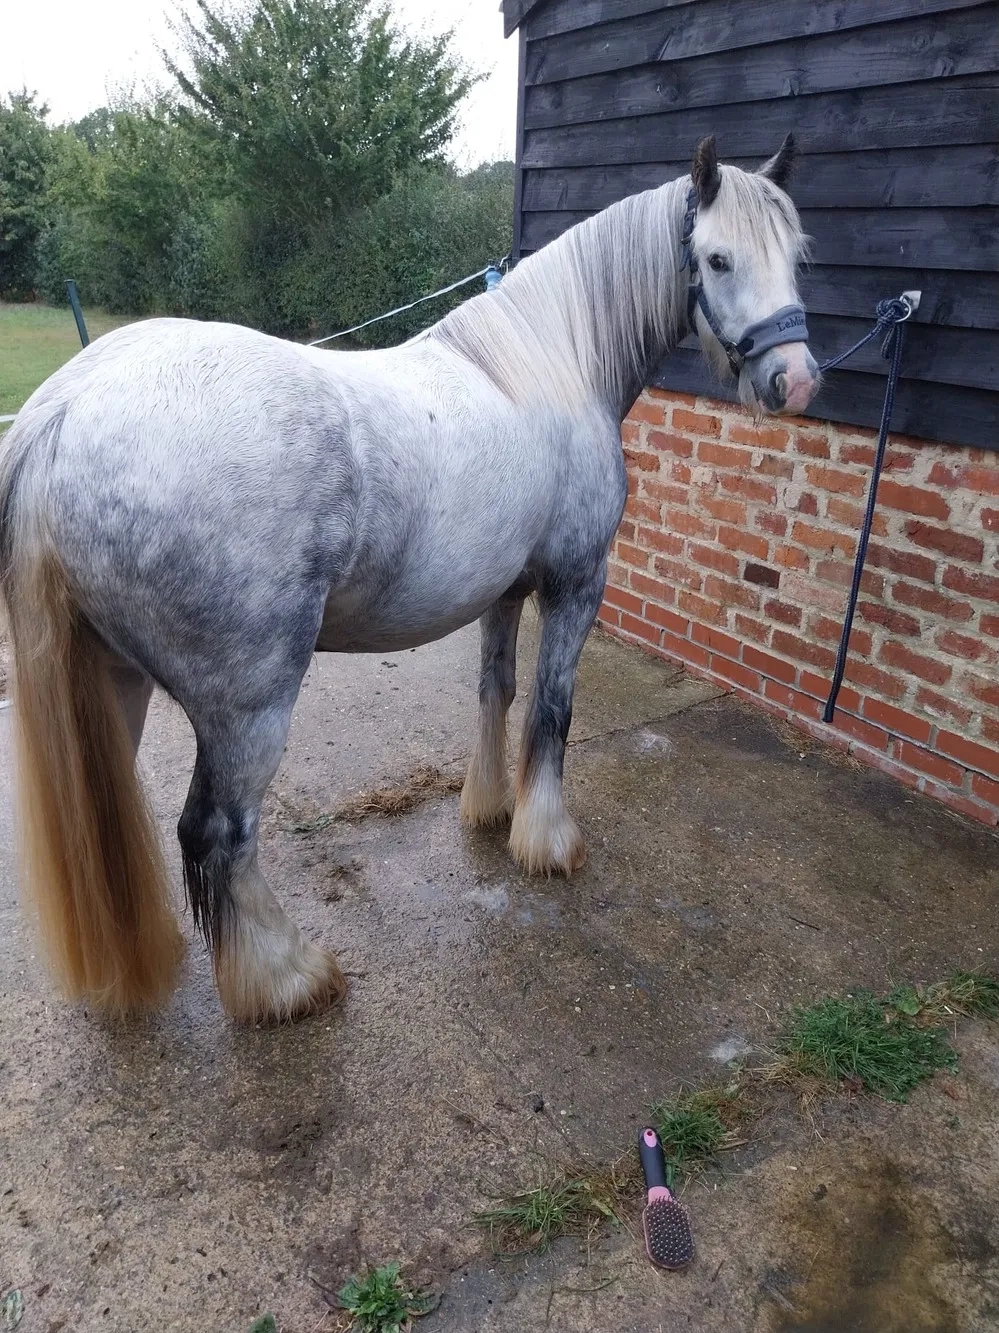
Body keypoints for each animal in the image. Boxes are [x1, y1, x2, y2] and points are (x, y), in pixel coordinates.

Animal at [0, 135, 818, 1024]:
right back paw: (287, 978)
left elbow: (496, 690)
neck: (548, 363)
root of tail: (62, 414)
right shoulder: (575, 584)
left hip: (112, 677)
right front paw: (547, 840)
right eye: (717, 257)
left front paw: (488, 809)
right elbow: (553, 710)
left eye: (796, 255)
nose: (797, 380)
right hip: (247, 705)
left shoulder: (505, 592)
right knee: (218, 833)